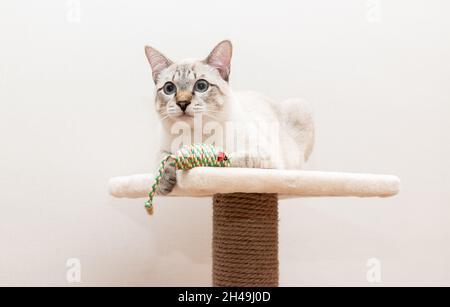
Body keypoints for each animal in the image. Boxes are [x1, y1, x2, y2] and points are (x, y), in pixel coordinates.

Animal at [146, 40, 314, 195]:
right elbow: (162, 159)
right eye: (169, 88)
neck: (195, 135)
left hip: (300, 107)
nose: (182, 103)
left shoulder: (265, 157)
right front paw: (163, 182)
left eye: (201, 86)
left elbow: (228, 159)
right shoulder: (162, 148)